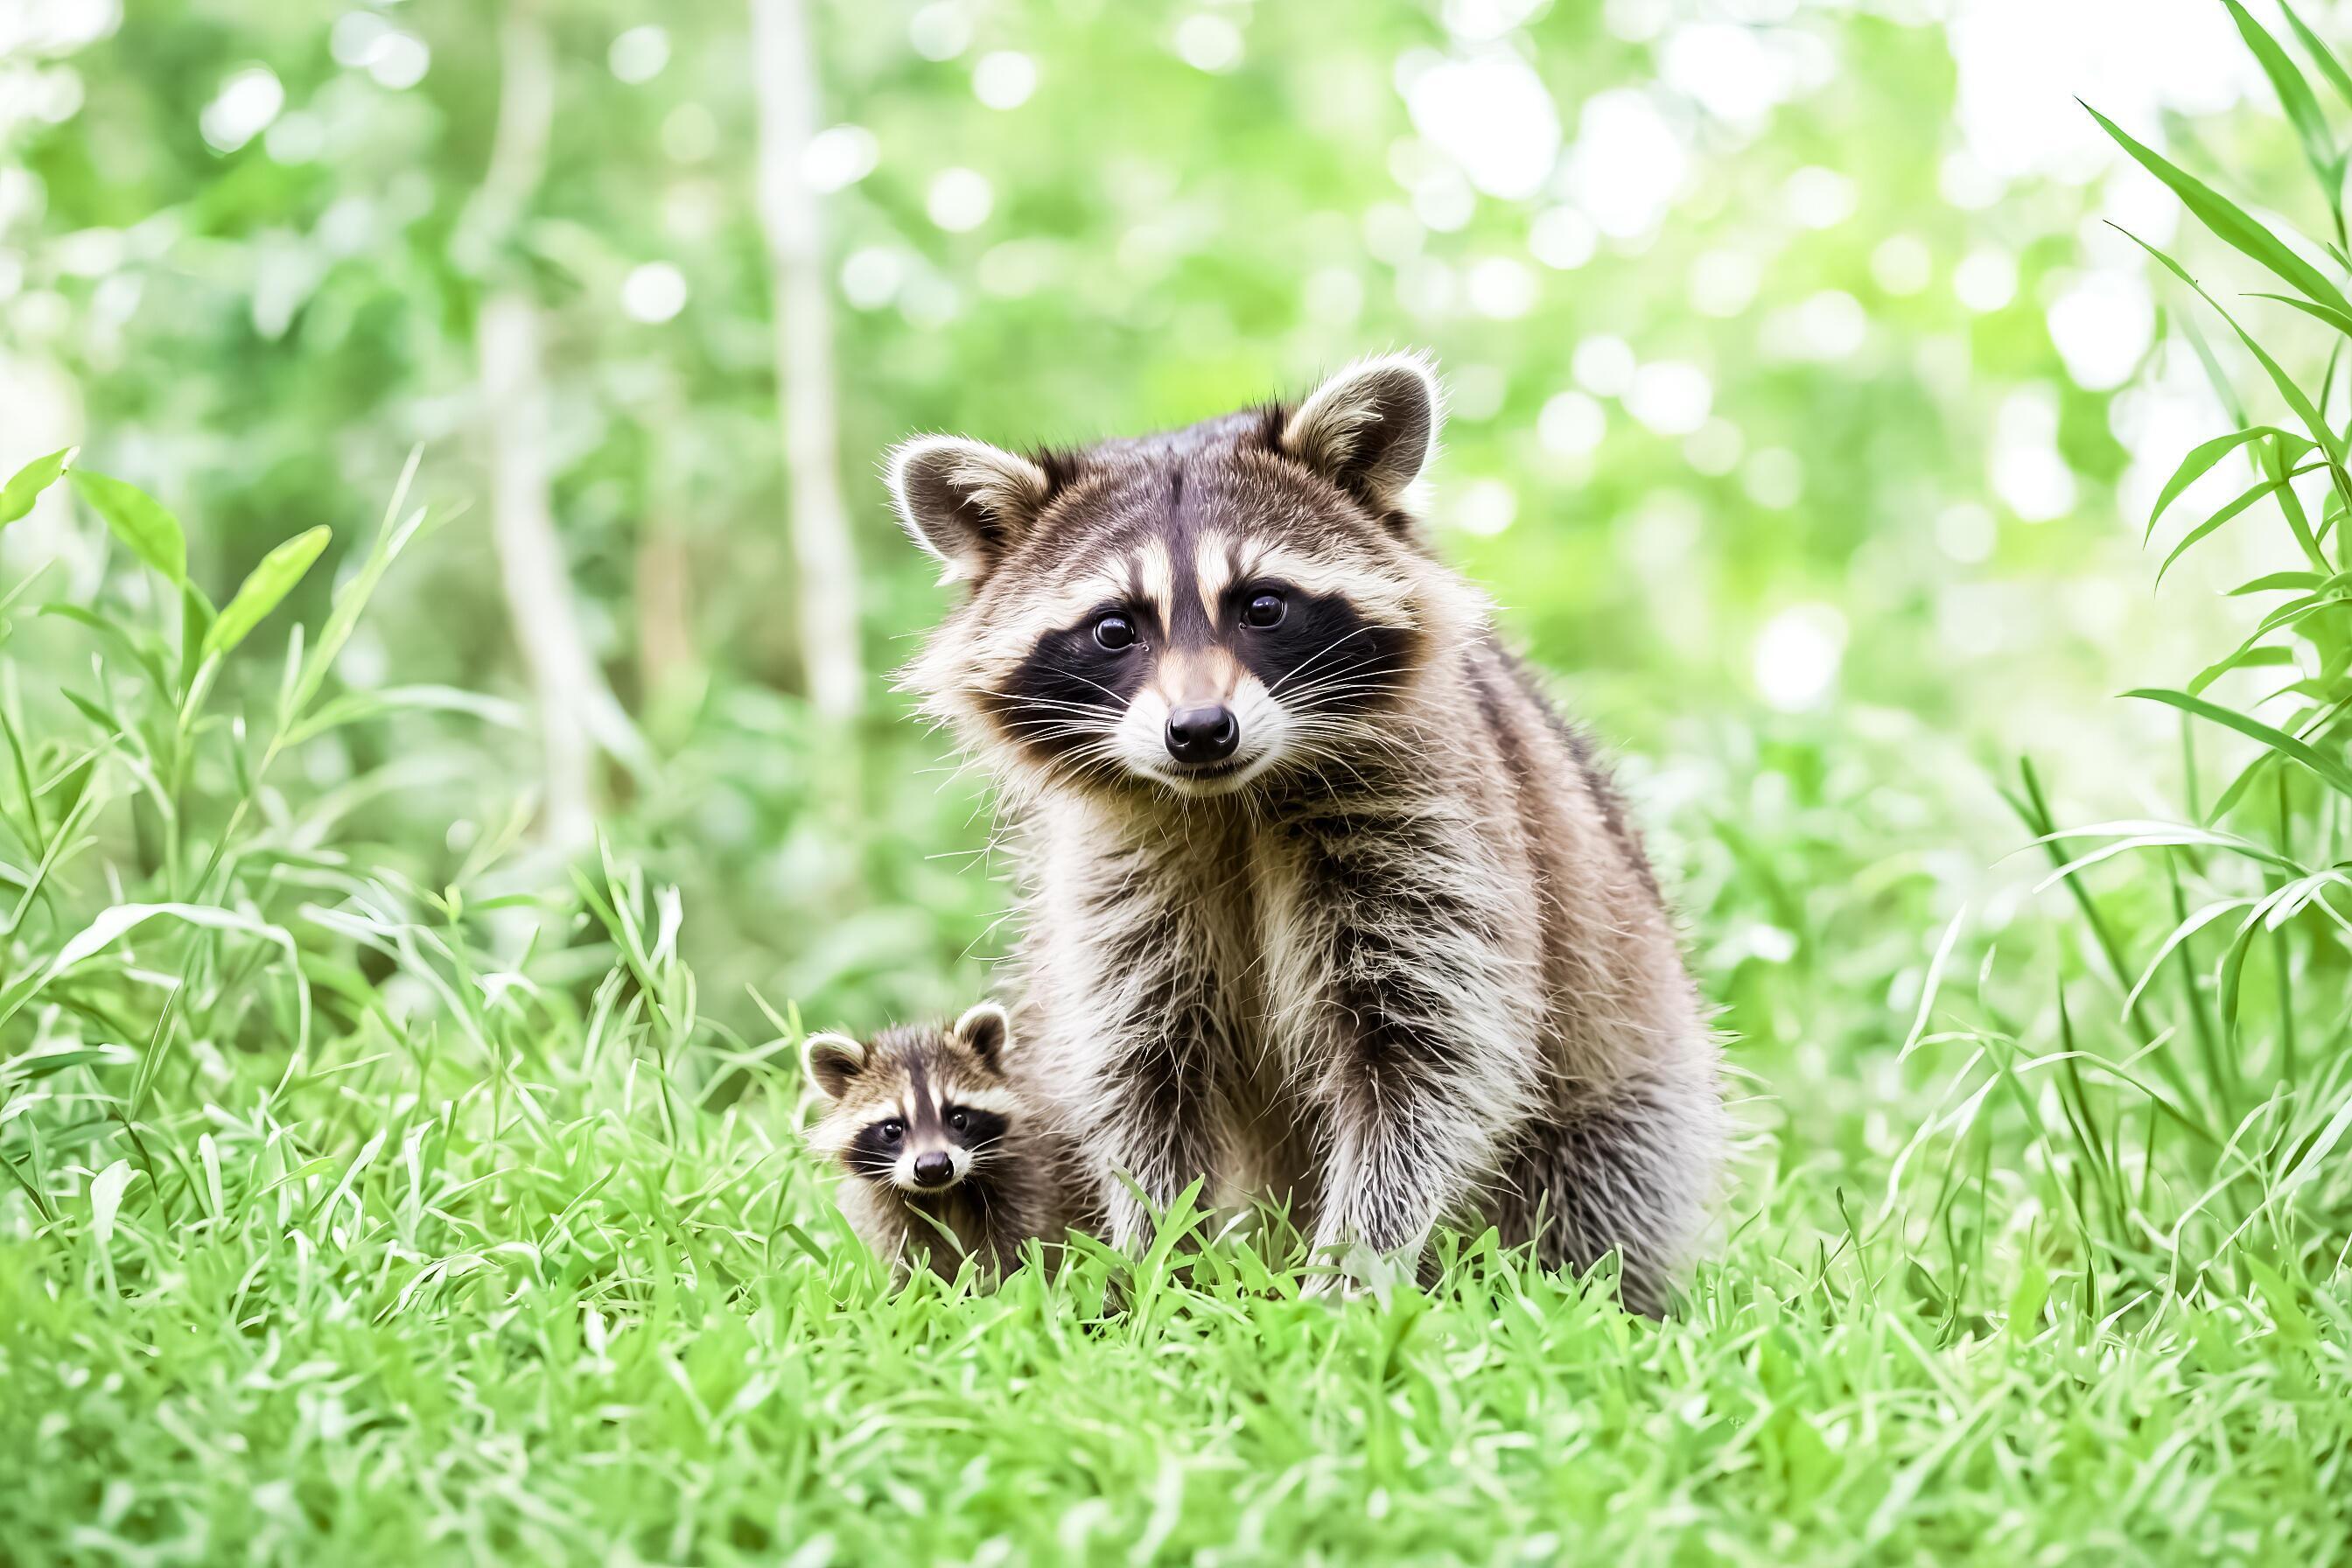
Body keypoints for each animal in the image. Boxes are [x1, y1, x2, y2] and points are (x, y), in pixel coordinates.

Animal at [804, 1005, 1072, 1288]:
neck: (943, 1194)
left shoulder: (1024, 1178)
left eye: (958, 1118)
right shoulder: (881, 1207)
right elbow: (906, 1254)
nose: (933, 1167)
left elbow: (1015, 1240)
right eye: (892, 1129)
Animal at [884, 352, 1731, 1316]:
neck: (1231, 803)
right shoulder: (1117, 884)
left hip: (1630, 1064)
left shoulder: (1438, 836)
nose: (1200, 731)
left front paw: (1350, 1278)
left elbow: (1429, 1068)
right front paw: (1164, 1271)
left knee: (1606, 1173)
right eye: (1114, 628)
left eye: (1262, 606)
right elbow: (1139, 1082)